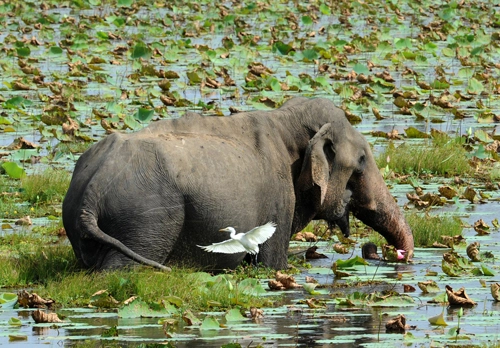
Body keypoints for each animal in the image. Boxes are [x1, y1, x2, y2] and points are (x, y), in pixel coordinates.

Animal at [62, 96, 414, 270]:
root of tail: (92, 191)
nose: (388, 254)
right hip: (145, 220)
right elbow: (271, 264)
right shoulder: (279, 197)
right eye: (362, 162)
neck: (285, 120)